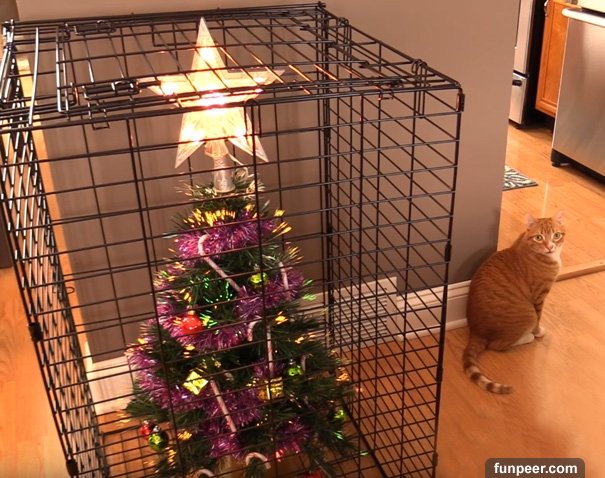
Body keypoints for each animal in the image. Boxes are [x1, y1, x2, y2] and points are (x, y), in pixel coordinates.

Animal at [463, 211, 565, 393]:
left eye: (556, 235)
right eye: (539, 237)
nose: (550, 246)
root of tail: (476, 331)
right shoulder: (539, 297)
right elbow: (539, 318)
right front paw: (538, 332)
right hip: (527, 314)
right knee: (496, 346)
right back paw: (528, 337)